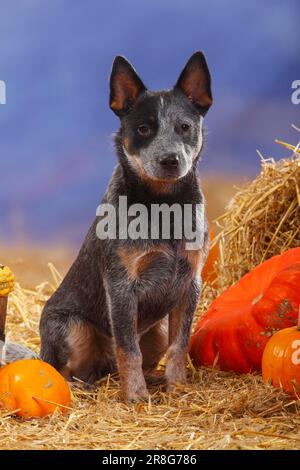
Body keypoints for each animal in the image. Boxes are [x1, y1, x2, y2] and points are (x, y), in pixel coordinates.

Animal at [39, 52, 212, 404]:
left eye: (184, 127)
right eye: (144, 128)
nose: (170, 160)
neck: (164, 207)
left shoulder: (190, 284)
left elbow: (179, 345)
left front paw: (177, 387)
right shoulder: (121, 286)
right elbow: (128, 348)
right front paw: (135, 396)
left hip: (158, 328)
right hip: (71, 328)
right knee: (68, 371)